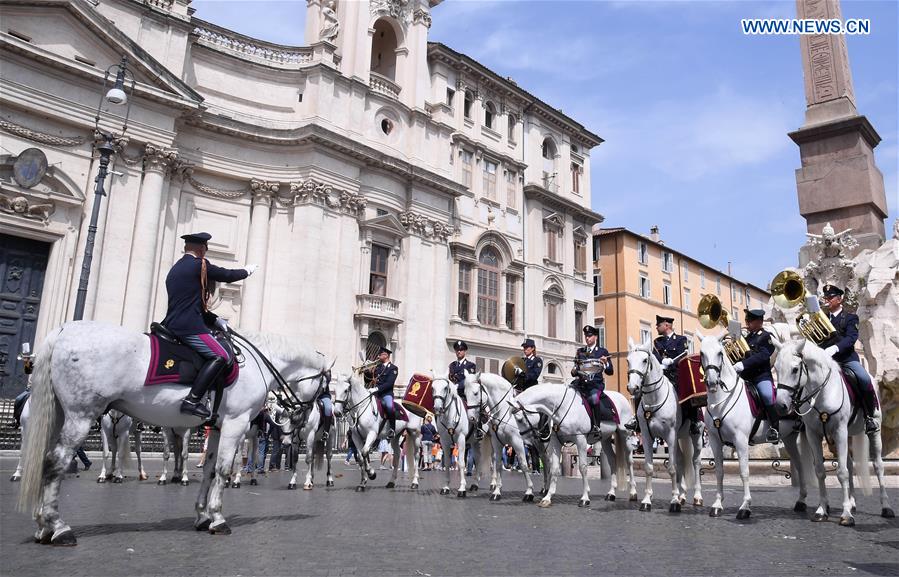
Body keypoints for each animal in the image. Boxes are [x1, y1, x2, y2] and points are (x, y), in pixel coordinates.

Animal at [16, 322, 330, 544]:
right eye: (323, 386)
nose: (303, 417)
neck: (255, 364)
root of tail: (61, 332)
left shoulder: (217, 426)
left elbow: (210, 469)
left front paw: (202, 515)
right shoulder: (235, 423)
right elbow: (223, 469)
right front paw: (218, 518)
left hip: (57, 415)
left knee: (43, 458)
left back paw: (42, 525)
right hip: (81, 415)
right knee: (56, 461)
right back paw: (58, 527)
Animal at [624, 338, 704, 512]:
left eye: (644, 360)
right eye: (628, 360)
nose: (633, 388)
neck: (654, 398)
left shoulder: (670, 435)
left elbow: (672, 468)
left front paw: (673, 501)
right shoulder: (647, 436)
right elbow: (649, 467)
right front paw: (647, 500)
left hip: (695, 437)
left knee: (695, 462)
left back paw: (697, 497)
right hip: (680, 437)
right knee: (682, 460)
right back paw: (682, 495)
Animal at [700, 332, 812, 516]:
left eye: (720, 353)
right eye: (702, 353)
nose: (712, 383)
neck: (721, 401)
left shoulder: (740, 441)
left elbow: (744, 472)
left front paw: (745, 506)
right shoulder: (715, 441)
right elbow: (719, 472)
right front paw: (717, 504)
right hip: (790, 439)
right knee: (801, 465)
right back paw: (801, 501)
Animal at [772, 338, 892, 520]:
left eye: (795, 369)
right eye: (776, 369)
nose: (780, 406)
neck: (822, 394)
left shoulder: (839, 431)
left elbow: (841, 472)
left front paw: (846, 514)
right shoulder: (814, 434)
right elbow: (820, 471)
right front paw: (822, 509)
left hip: (872, 432)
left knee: (878, 466)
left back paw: (885, 506)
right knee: (849, 464)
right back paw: (852, 501)